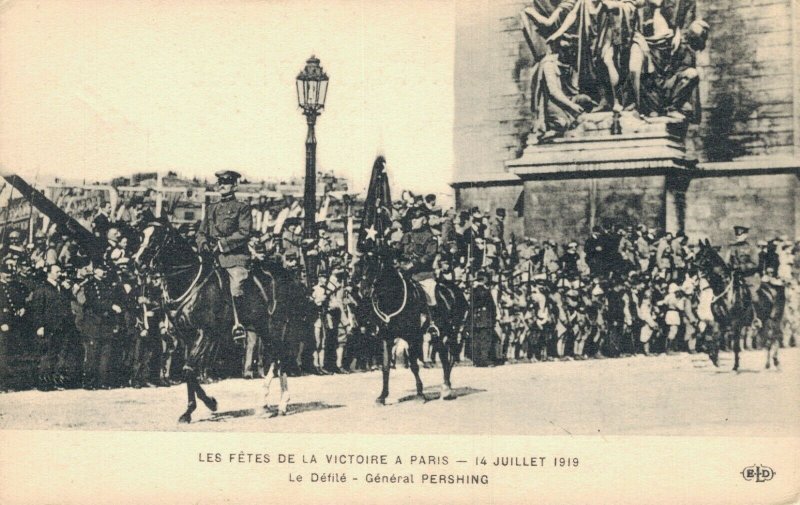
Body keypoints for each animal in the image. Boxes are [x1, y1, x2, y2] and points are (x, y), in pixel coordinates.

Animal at [134, 220, 312, 422]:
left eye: (155, 238)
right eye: (141, 236)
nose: (138, 262)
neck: (190, 280)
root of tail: (288, 276)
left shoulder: (205, 334)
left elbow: (188, 369)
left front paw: (210, 403)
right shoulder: (187, 336)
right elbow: (189, 371)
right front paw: (190, 411)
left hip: (275, 327)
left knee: (278, 358)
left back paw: (273, 402)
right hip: (264, 329)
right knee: (278, 359)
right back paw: (275, 404)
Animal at [354, 247, 468, 402]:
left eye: (374, 267)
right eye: (359, 266)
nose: (363, 291)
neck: (393, 299)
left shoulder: (412, 337)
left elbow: (414, 365)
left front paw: (420, 394)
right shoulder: (387, 337)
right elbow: (385, 366)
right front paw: (382, 396)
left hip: (452, 331)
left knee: (450, 358)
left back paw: (446, 388)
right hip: (438, 335)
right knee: (445, 357)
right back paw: (446, 387)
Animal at [696, 240, 784, 370]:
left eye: (704, 255)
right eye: (697, 254)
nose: (693, 268)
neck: (725, 292)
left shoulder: (735, 323)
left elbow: (735, 345)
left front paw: (735, 366)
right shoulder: (719, 321)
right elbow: (713, 337)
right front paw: (713, 357)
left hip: (775, 319)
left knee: (775, 337)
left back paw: (776, 362)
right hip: (765, 320)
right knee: (768, 340)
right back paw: (768, 364)